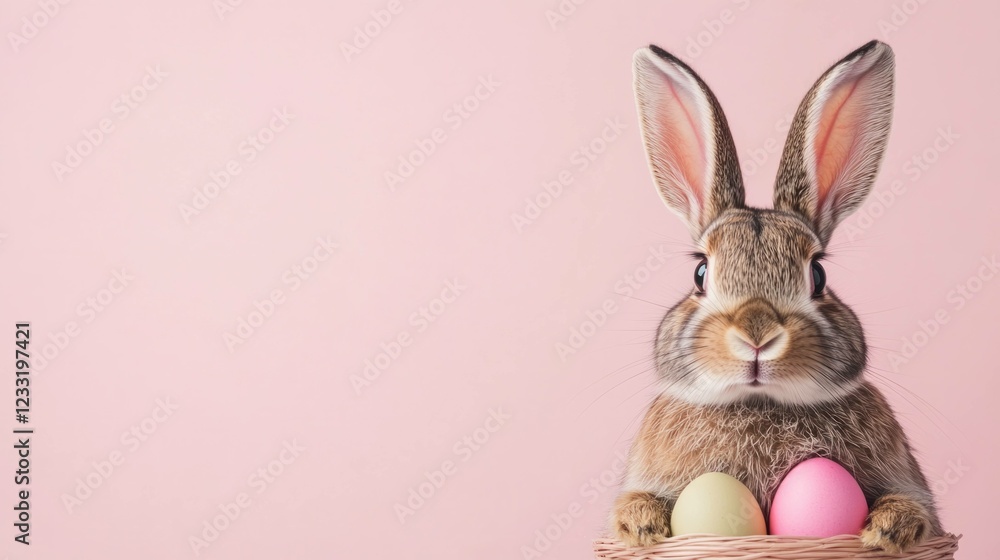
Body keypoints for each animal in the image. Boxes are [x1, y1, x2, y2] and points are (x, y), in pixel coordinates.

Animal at [609, 40, 943, 554]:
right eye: (700, 272)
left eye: (818, 274)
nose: (757, 335)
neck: (760, 404)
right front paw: (642, 525)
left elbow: (910, 506)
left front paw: (889, 530)